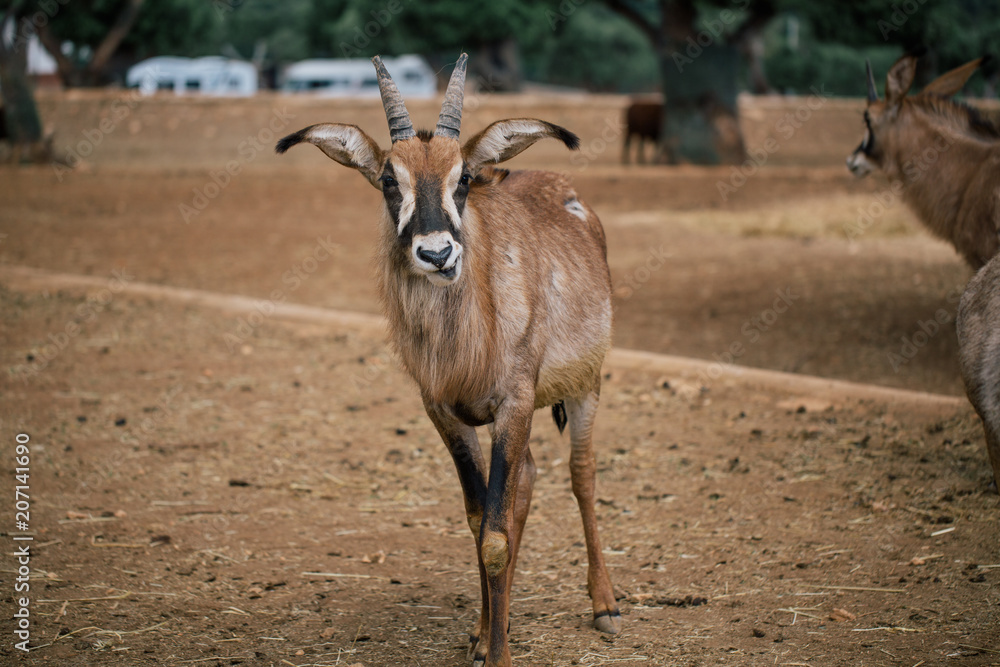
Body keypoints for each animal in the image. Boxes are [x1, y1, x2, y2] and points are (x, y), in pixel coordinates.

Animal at [275, 54, 620, 667]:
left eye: (462, 179)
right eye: (390, 180)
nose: (437, 254)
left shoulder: (512, 404)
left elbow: (497, 538)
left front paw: (500, 654)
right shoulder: (446, 413)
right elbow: (481, 517)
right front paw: (484, 637)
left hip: (585, 386)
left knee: (581, 474)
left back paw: (605, 604)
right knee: (525, 483)